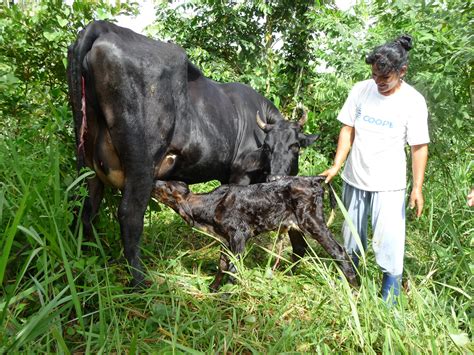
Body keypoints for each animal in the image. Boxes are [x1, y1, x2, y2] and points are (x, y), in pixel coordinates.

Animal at [66, 20, 316, 288]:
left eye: (295, 146)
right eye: (267, 147)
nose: (276, 178)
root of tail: (103, 26)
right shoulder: (239, 175)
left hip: (88, 164)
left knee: (85, 208)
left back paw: (82, 265)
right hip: (141, 163)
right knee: (129, 214)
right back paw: (140, 282)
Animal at [154, 177, 358, 290]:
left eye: (166, 188)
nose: (155, 180)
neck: (211, 205)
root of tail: (314, 179)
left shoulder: (239, 236)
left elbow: (233, 268)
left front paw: (227, 295)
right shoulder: (225, 240)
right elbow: (222, 265)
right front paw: (213, 288)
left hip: (312, 220)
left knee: (339, 251)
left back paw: (355, 289)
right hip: (294, 224)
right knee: (300, 248)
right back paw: (288, 275)